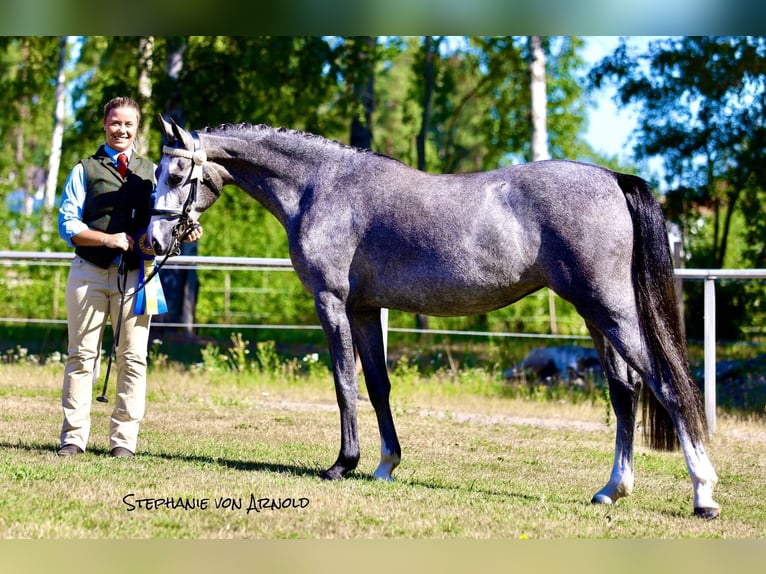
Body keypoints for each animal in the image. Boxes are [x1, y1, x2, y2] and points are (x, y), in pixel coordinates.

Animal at [148, 116, 720, 516]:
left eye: (176, 173)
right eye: (154, 172)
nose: (153, 240)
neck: (320, 185)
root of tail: (610, 178)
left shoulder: (331, 301)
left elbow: (343, 382)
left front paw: (343, 464)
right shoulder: (364, 308)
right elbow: (376, 385)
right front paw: (385, 464)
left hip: (610, 309)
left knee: (666, 385)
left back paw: (703, 494)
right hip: (597, 315)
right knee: (624, 393)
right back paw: (612, 490)